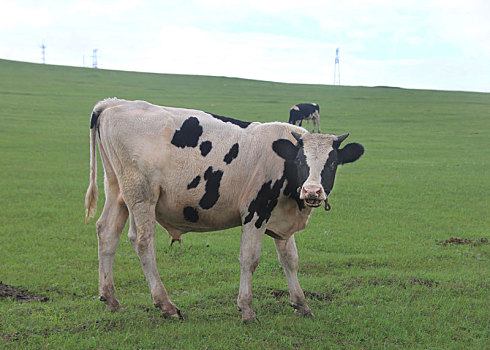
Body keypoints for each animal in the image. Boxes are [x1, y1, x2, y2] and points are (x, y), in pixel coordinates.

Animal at [85, 97, 364, 322]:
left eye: (332, 163)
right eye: (301, 160)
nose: (312, 191)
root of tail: (113, 104)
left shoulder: (282, 221)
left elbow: (290, 260)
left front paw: (301, 304)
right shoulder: (255, 213)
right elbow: (249, 259)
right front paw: (247, 310)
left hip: (118, 192)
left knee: (107, 232)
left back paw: (110, 299)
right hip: (141, 196)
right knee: (142, 241)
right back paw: (166, 305)